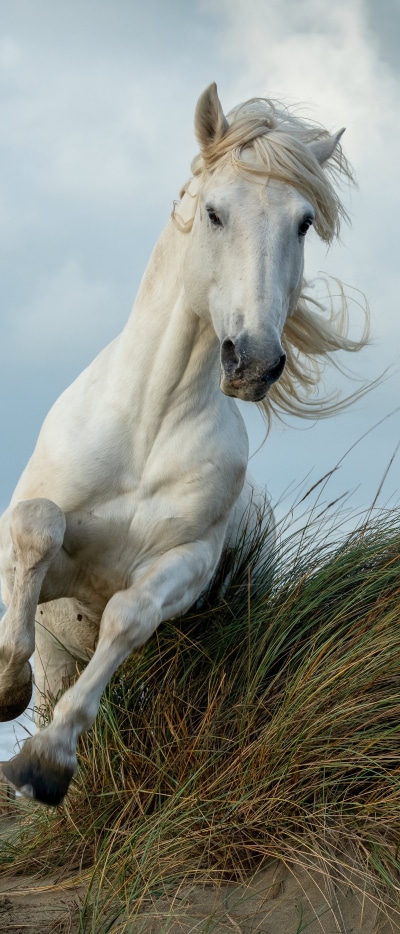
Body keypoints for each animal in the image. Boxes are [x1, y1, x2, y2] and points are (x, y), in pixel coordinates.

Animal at [0, 82, 368, 806]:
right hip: (60, 646)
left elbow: (128, 614)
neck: (149, 425)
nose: (253, 361)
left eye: (303, 222)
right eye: (215, 213)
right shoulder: (46, 553)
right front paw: (4, 681)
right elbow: (36, 527)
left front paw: (47, 762)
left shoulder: (184, 565)